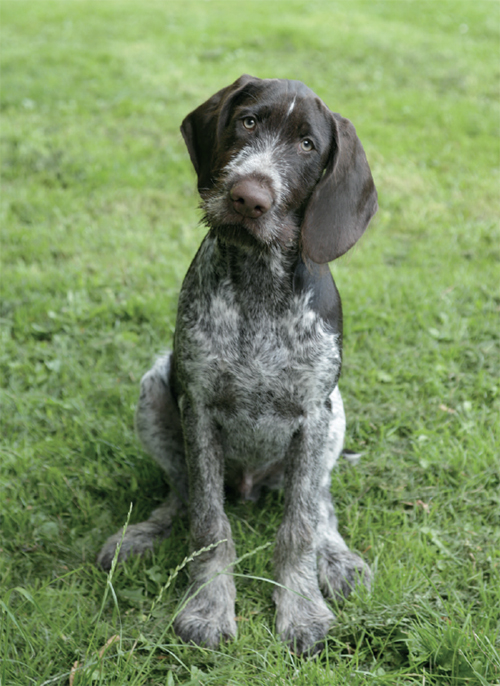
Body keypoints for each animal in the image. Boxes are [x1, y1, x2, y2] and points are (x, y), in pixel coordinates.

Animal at [98, 75, 378, 654]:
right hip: (155, 390)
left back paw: (337, 558)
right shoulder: (199, 407)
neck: (258, 280)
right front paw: (208, 606)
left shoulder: (313, 413)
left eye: (308, 145)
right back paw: (145, 533)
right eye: (248, 122)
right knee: (179, 492)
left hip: (335, 415)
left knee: (321, 504)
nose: (249, 196)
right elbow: (208, 523)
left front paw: (301, 608)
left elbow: (299, 528)